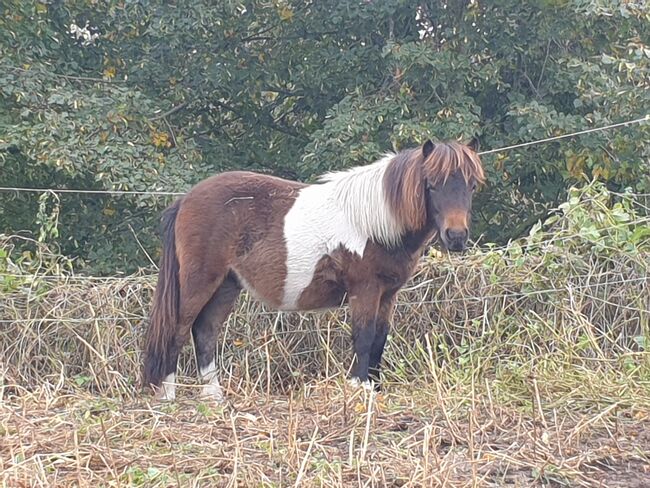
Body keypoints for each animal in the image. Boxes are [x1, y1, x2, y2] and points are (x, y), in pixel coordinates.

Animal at [143, 137, 486, 400]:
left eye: (471, 186)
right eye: (432, 185)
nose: (456, 236)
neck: (375, 221)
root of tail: (185, 200)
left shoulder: (388, 294)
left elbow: (380, 339)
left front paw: (375, 388)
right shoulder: (365, 290)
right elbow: (363, 337)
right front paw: (359, 388)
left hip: (227, 284)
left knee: (205, 331)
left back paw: (213, 395)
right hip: (199, 282)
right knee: (178, 329)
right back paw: (168, 394)